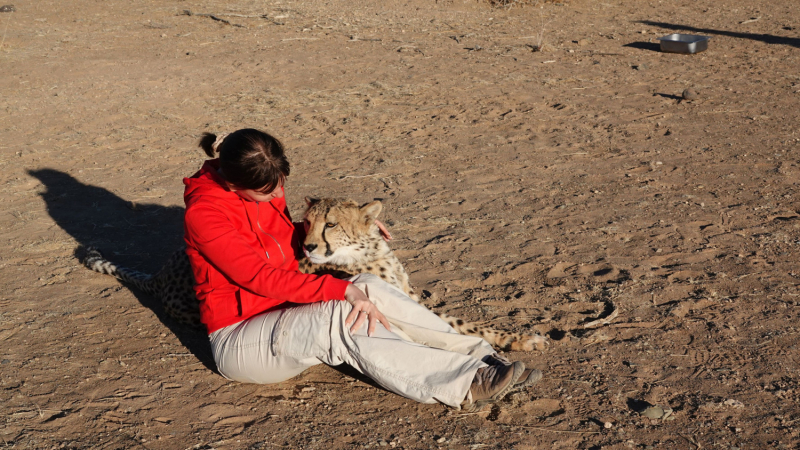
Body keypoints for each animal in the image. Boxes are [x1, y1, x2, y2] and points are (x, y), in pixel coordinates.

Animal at [83, 198, 544, 352]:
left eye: (332, 224)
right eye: (308, 224)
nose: (307, 246)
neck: (370, 252)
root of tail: (163, 272)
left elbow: (464, 322)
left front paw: (519, 338)